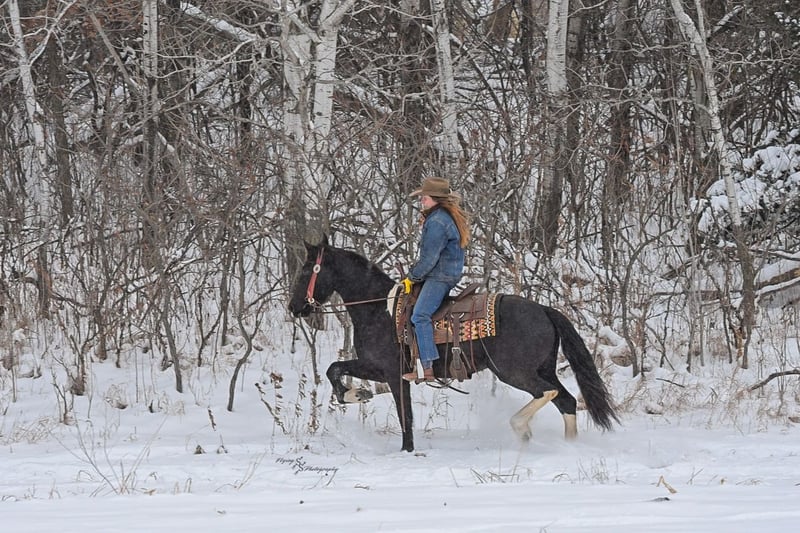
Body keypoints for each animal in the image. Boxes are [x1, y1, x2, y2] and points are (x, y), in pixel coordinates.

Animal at [288, 237, 619, 452]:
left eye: (305, 270)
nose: (294, 307)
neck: (378, 309)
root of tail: (544, 310)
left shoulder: (391, 373)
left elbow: (404, 416)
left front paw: (404, 447)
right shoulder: (378, 369)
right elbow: (335, 368)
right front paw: (357, 393)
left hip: (514, 372)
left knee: (548, 393)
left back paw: (521, 429)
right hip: (543, 368)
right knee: (566, 400)